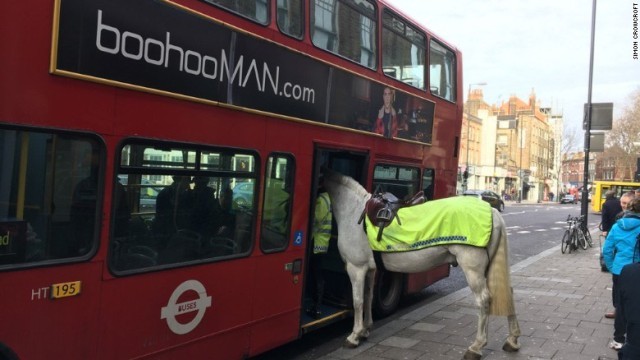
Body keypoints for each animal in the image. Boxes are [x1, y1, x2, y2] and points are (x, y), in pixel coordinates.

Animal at [324, 169, 520, 360]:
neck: (353, 210)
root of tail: (492, 211)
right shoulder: (370, 269)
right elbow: (368, 297)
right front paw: (365, 330)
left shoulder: (356, 268)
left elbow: (357, 301)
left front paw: (354, 336)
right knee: (507, 293)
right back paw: (512, 340)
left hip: (473, 270)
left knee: (483, 300)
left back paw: (476, 347)